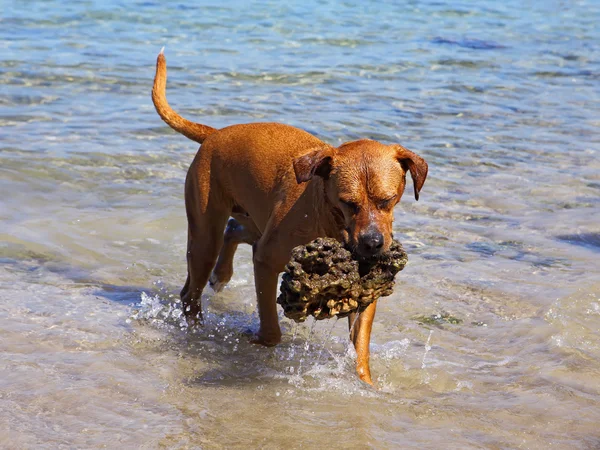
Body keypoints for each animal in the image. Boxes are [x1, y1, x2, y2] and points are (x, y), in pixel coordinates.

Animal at [152, 51, 428, 384]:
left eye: (388, 200)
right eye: (348, 203)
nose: (373, 243)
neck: (328, 216)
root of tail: (215, 134)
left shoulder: (368, 285)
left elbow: (360, 345)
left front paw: (365, 383)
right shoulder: (266, 260)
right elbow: (272, 329)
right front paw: (254, 337)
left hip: (254, 217)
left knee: (234, 230)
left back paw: (222, 274)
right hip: (205, 232)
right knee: (191, 290)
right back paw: (197, 326)